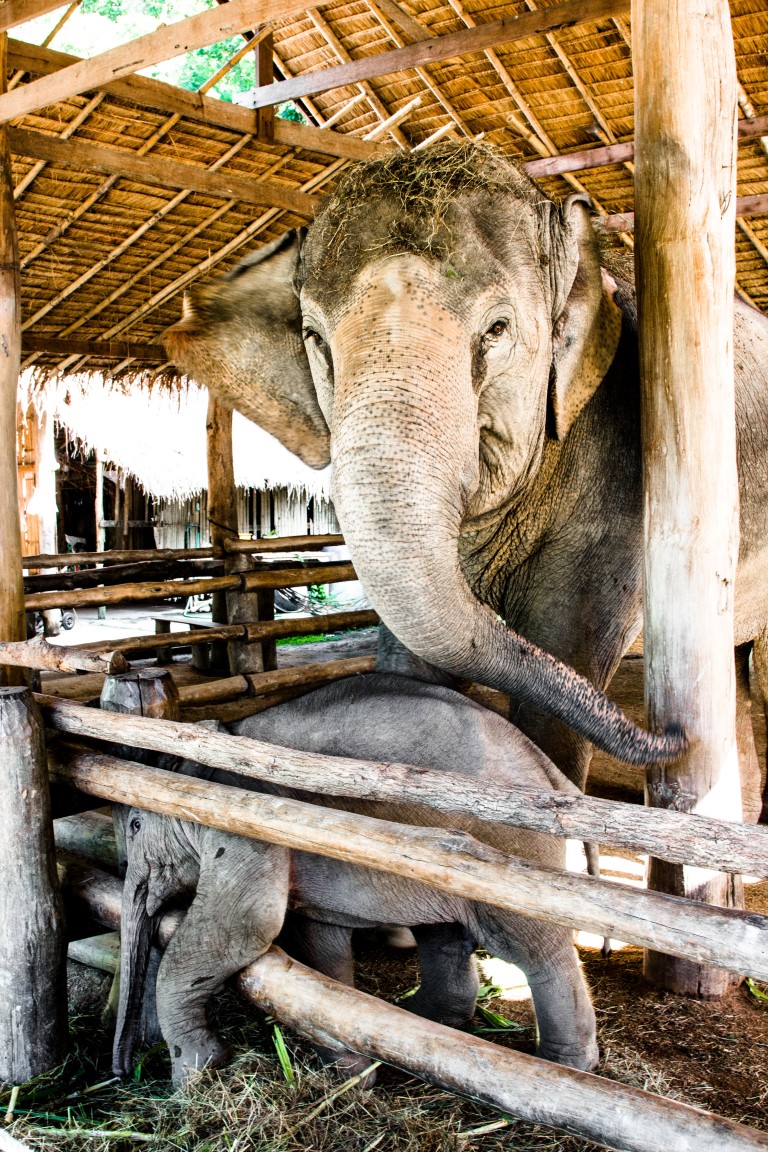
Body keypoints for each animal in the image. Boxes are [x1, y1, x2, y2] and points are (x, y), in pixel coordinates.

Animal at [113, 632, 599, 1088]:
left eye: (134, 825)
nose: (122, 1072)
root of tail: (553, 773)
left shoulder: (242, 816)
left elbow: (246, 927)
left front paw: (193, 1074)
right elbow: (318, 940)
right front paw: (349, 1075)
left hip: (514, 848)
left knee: (534, 949)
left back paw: (564, 1066)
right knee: (444, 932)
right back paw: (423, 1019)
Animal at [164, 141, 768, 812]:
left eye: (497, 329)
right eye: (314, 338)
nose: (675, 735)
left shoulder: (622, 486)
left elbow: (569, 653)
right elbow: (412, 656)